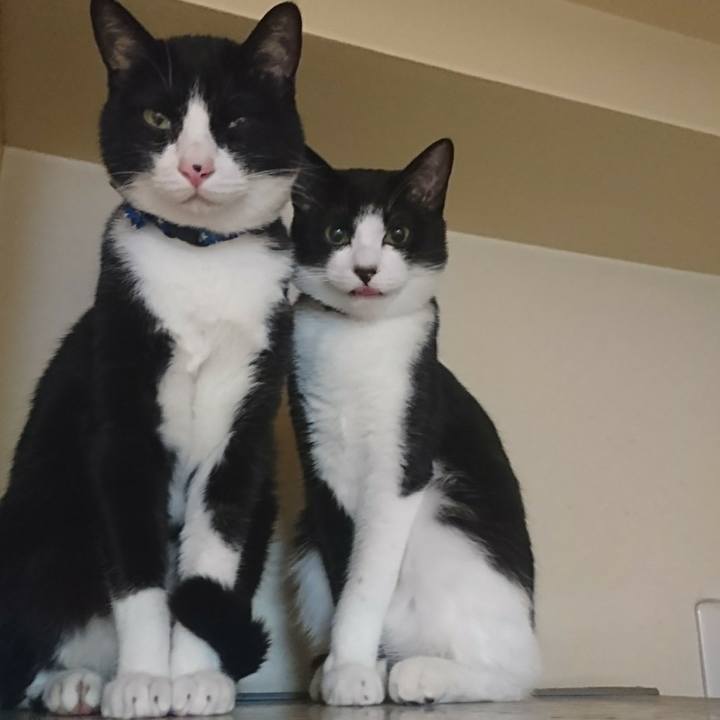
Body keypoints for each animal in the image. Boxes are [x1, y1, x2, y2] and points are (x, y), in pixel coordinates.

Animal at [0, 1, 304, 716]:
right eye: (158, 120)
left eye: (234, 122)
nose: (195, 165)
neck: (200, 259)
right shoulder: (119, 428)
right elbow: (136, 568)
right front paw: (143, 679)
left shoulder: (242, 437)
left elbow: (211, 556)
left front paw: (190, 678)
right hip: (36, 515)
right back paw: (74, 681)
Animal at [288, 139, 541, 705]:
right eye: (337, 233)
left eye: (397, 234)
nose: (365, 269)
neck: (358, 341)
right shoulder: (319, 468)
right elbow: (343, 574)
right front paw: (350, 668)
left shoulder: (402, 465)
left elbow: (366, 581)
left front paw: (356, 670)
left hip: (448, 534)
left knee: (516, 678)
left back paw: (423, 673)